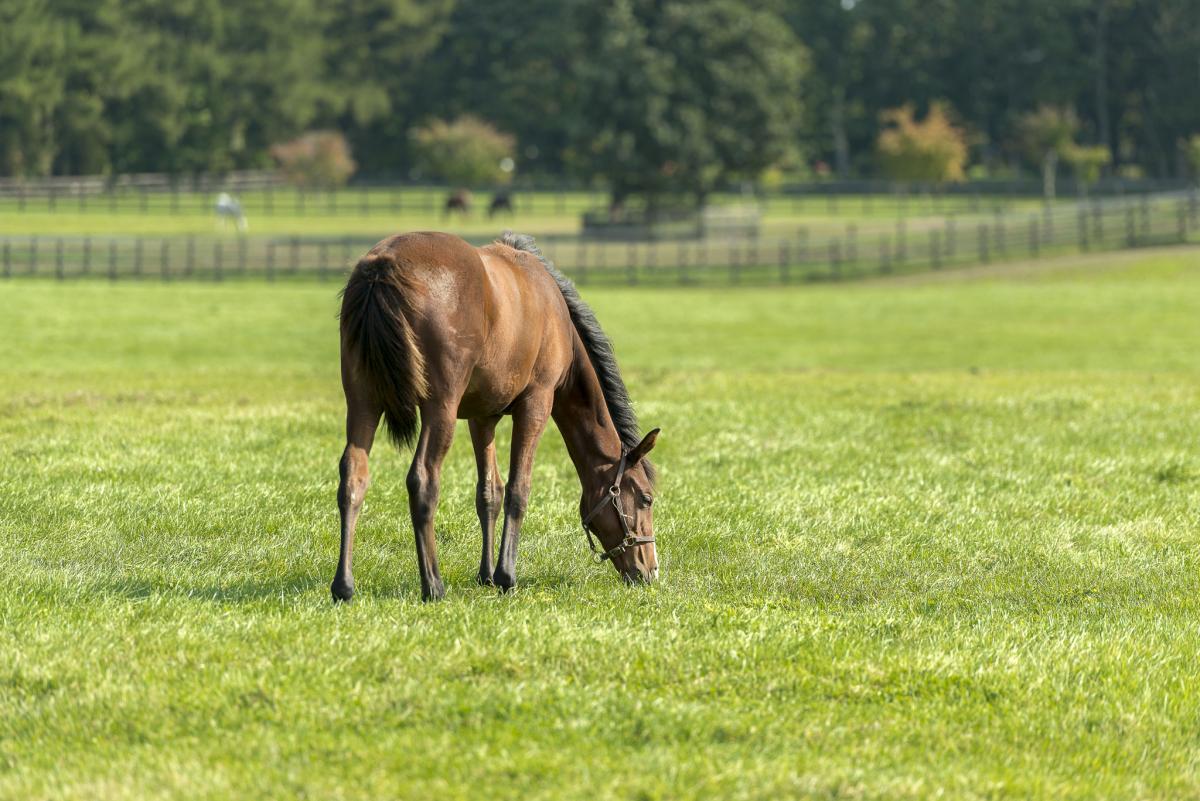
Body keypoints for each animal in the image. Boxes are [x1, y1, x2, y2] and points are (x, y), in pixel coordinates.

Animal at [333, 227, 662, 597]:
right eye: (646, 498)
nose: (650, 570)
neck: (554, 310)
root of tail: (382, 267)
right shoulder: (537, 403)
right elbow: (519, 489)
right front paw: (506, 576)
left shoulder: (481, 417)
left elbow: (489, 492)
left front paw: (486, 575)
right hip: (439, 409)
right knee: (423, 480)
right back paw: (433, 585)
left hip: (363, 402)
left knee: (353, 477)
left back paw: (344, 585)